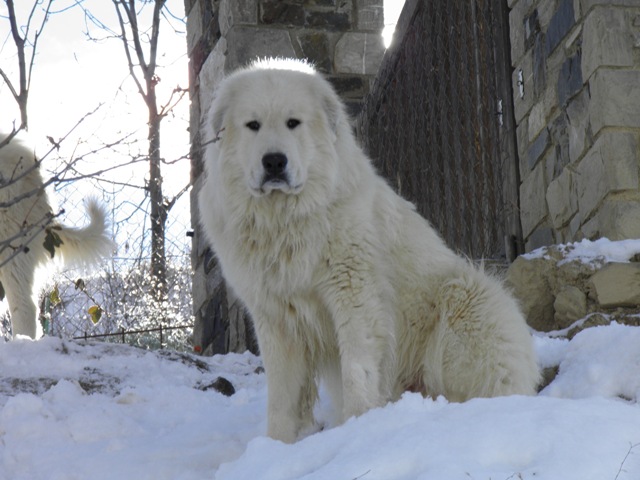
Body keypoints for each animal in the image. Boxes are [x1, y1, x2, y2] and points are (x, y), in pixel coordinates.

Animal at [199, 58, 540, 444]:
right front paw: (277, 444)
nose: (274, 162)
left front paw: (357, 424)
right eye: (253, 125)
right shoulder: (276, 315)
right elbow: (283, 393)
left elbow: (357, 365)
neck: (284, 219)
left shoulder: (354, 292)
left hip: (465, 296)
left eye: (293, 122)